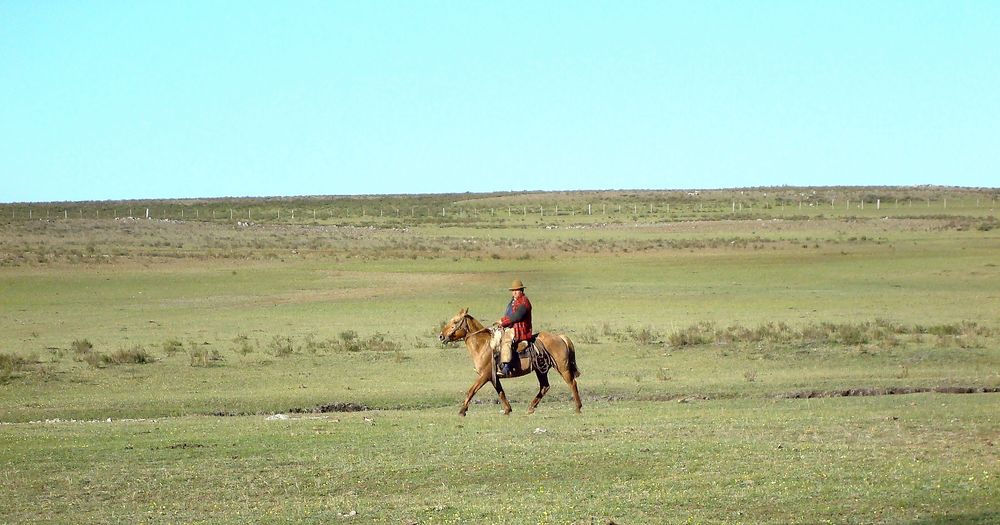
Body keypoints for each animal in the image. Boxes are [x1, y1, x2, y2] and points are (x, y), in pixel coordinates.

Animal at [440, 308, 584, 414]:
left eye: (455, 322)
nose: (441, 336)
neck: (483, 345)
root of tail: (560, 337)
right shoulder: (493, 377)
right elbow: (501, 392)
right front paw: (508, 410)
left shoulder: (484, 376)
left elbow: (471, 390)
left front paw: (462, 411)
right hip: (541, 370)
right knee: (545, 386)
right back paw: (531, 408)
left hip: (562, 367)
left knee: (572, 383)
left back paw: (578, 407)